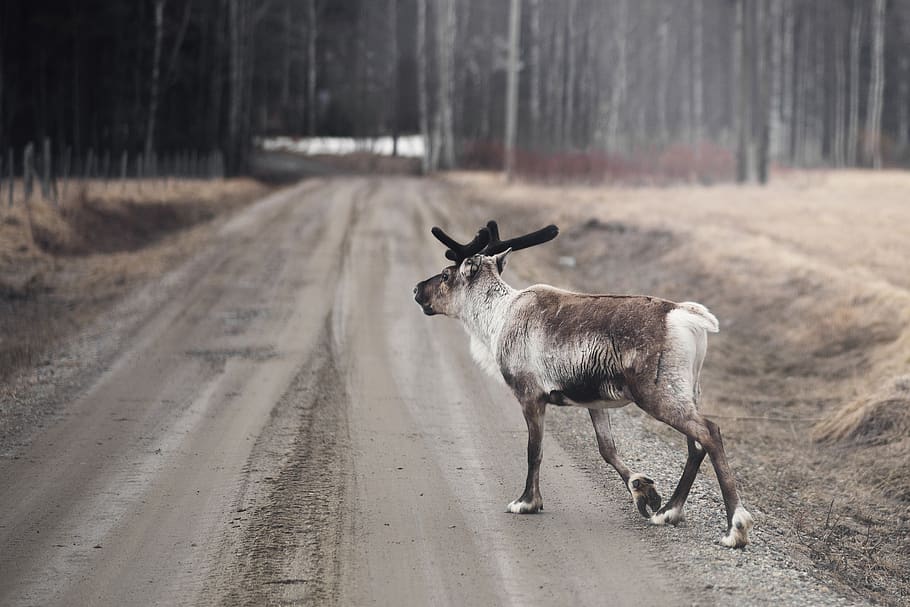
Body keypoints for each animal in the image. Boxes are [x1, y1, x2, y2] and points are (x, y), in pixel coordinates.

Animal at [413, 220, 753, 548]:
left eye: (446, 275)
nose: (416, 289)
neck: (497, 318)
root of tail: (686, 316)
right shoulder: (594, 400)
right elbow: (607, 448)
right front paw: (642, 491)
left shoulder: (530, 394)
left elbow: (534, 450)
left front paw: (527, 502)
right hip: (687, 391)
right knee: (696, 446)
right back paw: (669, 511)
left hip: (657, 394)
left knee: (709, 432)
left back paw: (734, 528)